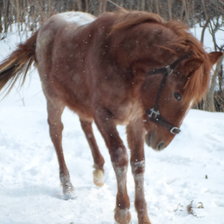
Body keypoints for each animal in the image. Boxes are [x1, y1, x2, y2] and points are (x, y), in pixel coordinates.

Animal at [0, 10, 221, 224]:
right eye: (177, 95)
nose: (161, 142)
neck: (122, 61)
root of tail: (44, 26)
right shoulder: (104, 117)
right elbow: (120, 157)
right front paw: (122, 211)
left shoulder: (135, 121)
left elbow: (138, 164)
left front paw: (143, 217)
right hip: (54, 100)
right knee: (56, 134)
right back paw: (67, 186)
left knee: (85, 124)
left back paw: (98, 169)